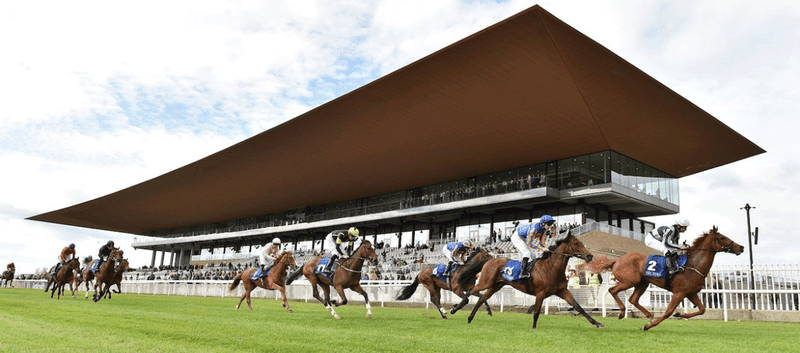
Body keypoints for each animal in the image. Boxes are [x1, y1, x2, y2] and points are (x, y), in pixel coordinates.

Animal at [454, 227, 604, 328]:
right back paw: (455, 308)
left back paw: (470, 317)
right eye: (576, 244)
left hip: (495, 286)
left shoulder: (562, 291)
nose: (590, 256)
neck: (551, 268)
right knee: (471, 291)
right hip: (485, 282)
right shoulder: (540, 293)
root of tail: (489, 260)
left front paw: (597, 323)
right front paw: (533, 329)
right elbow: (536, 312)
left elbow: (578, 307)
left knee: (481, 299)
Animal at [584, 226, 748, 330]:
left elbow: (702, 310)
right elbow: (668, 312)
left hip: (642, 283)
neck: (693, 265)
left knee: (633, 299)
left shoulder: (691, 293)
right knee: (613, 290)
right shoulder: (679, 293)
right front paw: (648, 326)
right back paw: (622, 312)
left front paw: (680, 314)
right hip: (629, 281)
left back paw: (649, 315)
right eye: (722, 237)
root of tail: (617, 260)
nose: (741, 247)